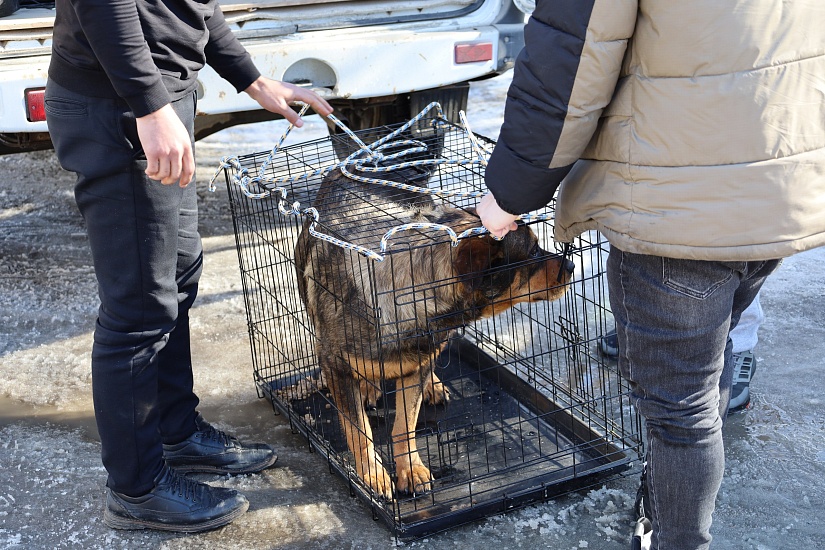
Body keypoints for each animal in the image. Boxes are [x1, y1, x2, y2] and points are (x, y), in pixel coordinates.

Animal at [294, 160, 572, 500]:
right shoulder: (333, 364)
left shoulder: (419, 360)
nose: (572, 266)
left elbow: (405, 425)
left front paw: (410, 469)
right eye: (532, 251)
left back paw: (431, 385)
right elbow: (360, 429)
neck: (409, 293)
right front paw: (373, 474)